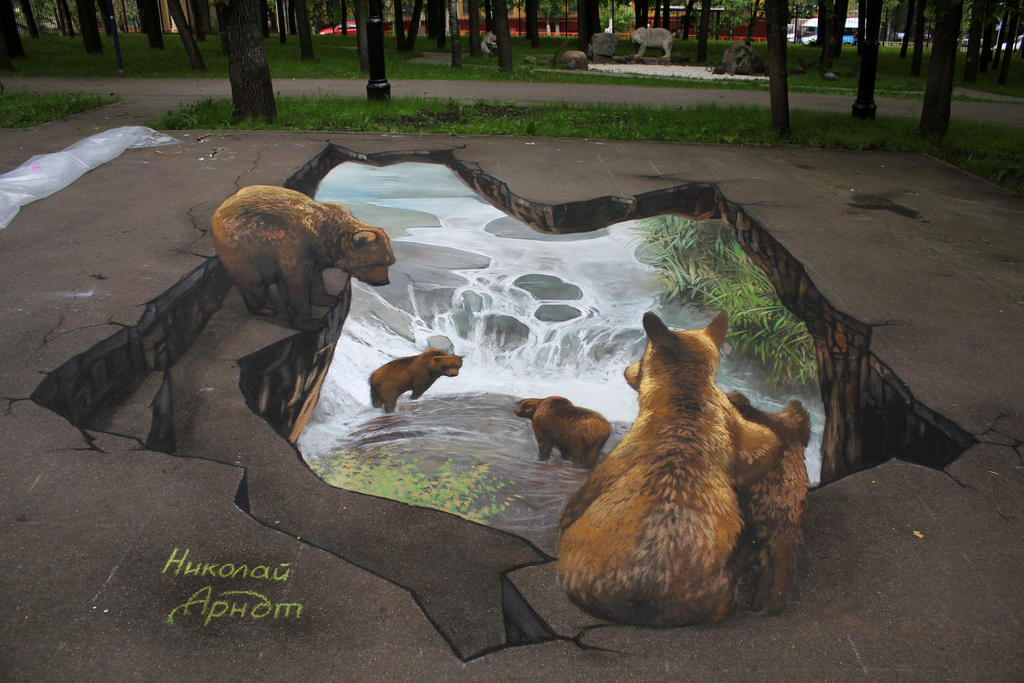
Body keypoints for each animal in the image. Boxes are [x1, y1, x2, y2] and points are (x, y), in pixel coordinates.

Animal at [211, 185, 395, 330]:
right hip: (244, 247)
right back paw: (265, 307)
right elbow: (295, 286)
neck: (323, 237)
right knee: (252, 280)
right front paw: (311, 322)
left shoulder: (314, 257)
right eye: (379, 262)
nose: (384, 281)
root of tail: (221, 207)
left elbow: (315, 278)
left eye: (390, 262)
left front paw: (328, 298)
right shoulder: (293, 247)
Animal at [557, 311, 786, 627]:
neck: (686, 400)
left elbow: (574, 506)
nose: (626, 369)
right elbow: (767, 443)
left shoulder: (616, 459)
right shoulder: (749, 437)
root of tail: (645, 593)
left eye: (643, 353)